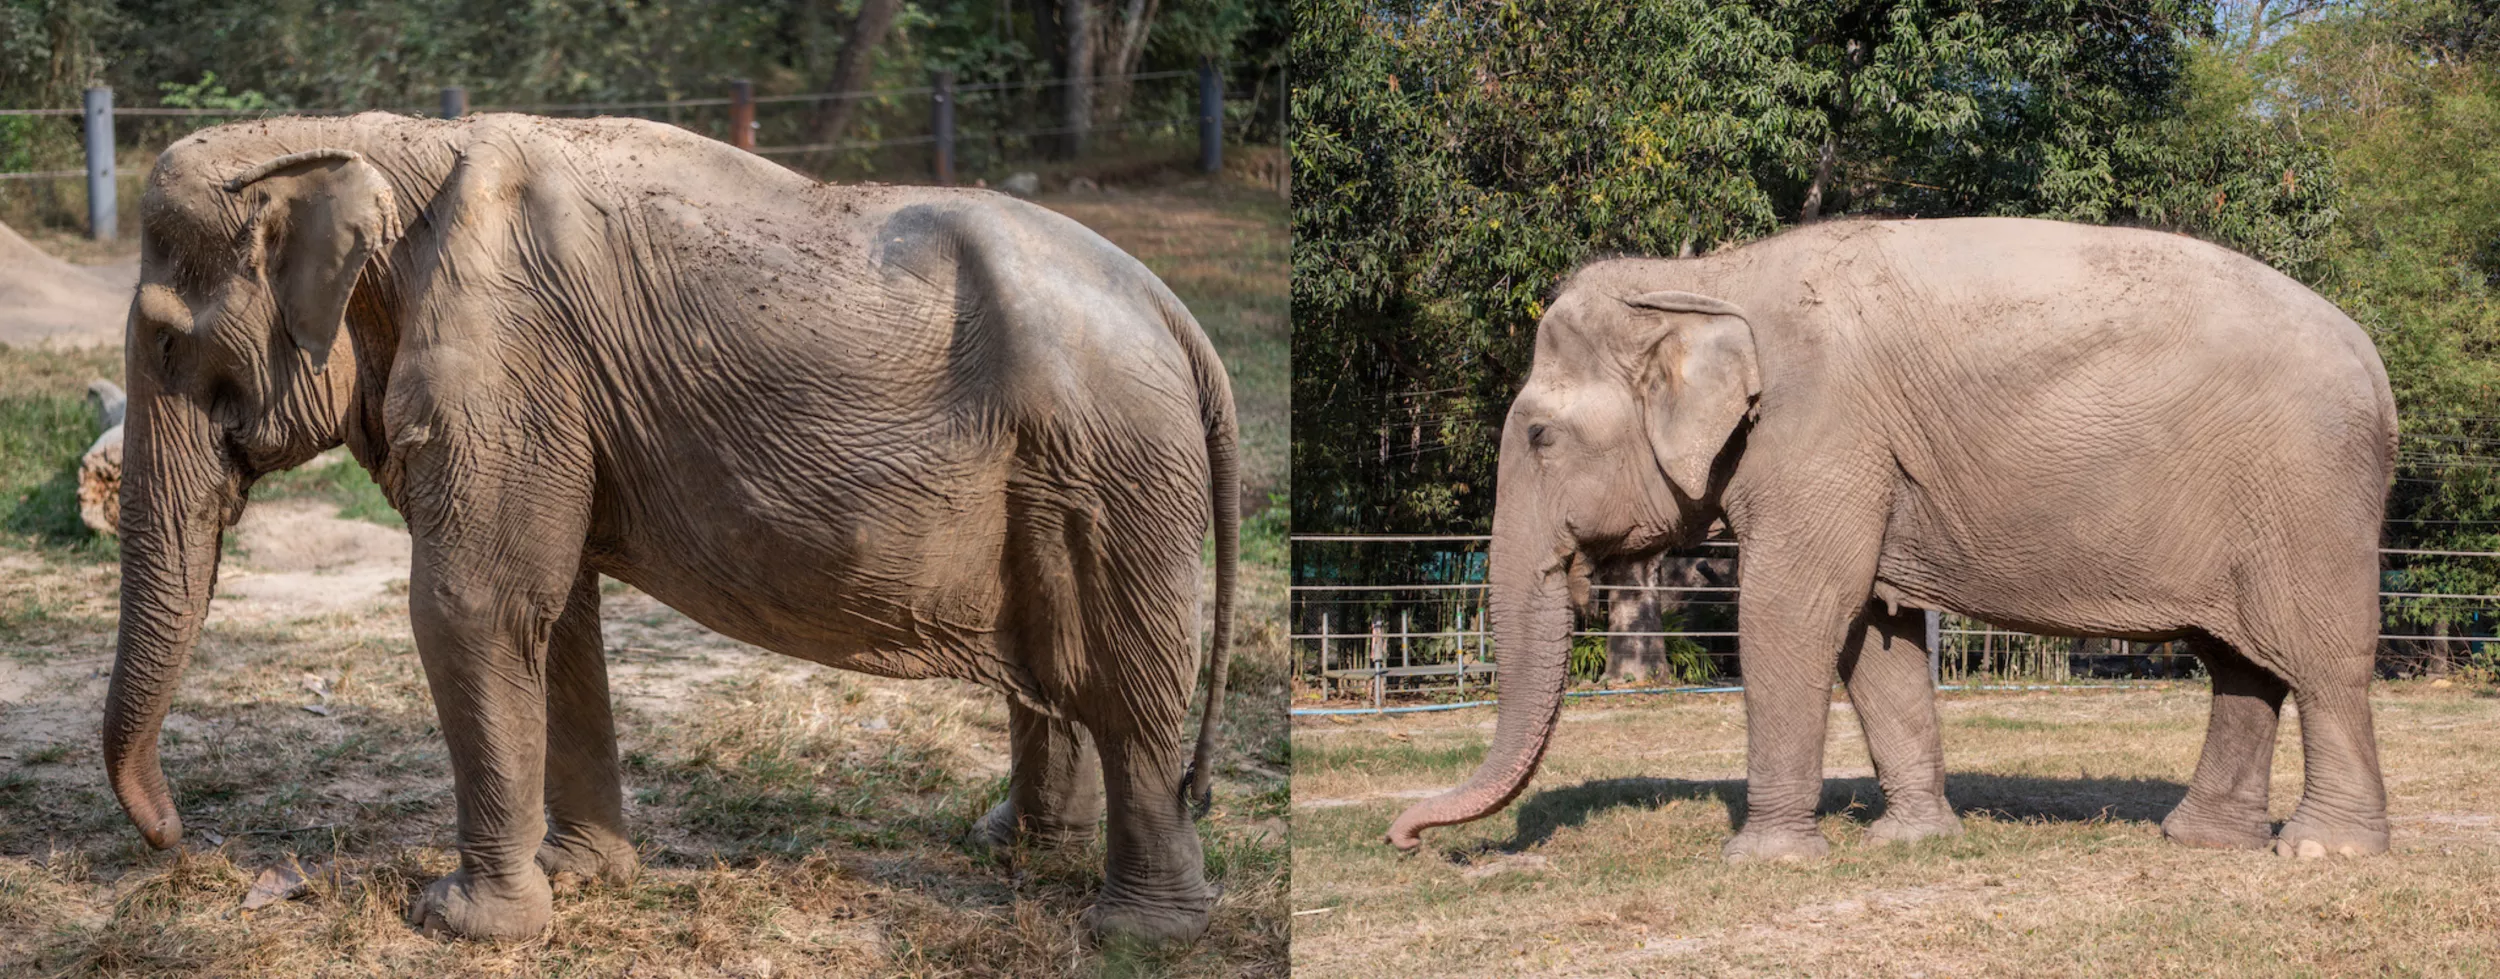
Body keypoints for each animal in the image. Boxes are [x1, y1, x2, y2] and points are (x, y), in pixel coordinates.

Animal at [101, 112, 1239, 945]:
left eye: (166, 345)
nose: (187, 842)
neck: (373, 140)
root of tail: (1181, 317)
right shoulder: (550, 398)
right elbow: (554, 616)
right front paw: (579, 876)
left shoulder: (507, 359)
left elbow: (473, 605)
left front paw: (464, 923)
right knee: (1061, 665)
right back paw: (1013, 849)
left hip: (1116, 470)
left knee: (1128, 686)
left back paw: (1139, 933)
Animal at [1388, 217, 2396, 863]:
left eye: (1538, 437)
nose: (1403, 838)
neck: (1712, 278)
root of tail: (2378, 368)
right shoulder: (1863, 458)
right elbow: (1873, 628)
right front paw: (1908, 842)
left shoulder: (1821, 433)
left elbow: (1795, 609)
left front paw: (1765, 860)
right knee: (2241, 661)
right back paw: (2205, 840)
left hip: (2308, 491)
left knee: (2317, 655)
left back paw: (2325, 852)